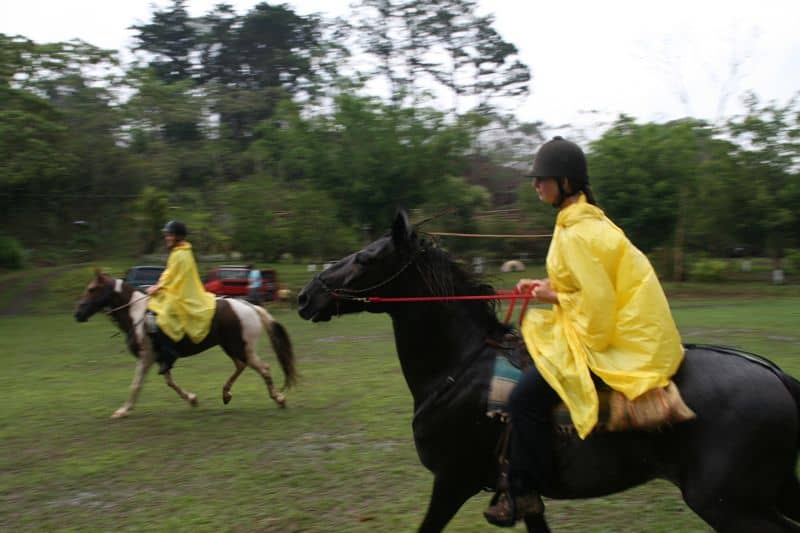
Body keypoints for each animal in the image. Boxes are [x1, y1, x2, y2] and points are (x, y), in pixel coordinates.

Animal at [75, 272, 296, 418]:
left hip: (242, 348)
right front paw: (192, 398)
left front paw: (123, 410)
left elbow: (136, 384)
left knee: (263, 368)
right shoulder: (161, 358)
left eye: (92, 289)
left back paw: (279, 399)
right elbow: (170, 382)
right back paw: (226, 393)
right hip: (232, 347)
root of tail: (249, 306)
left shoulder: (146, 357)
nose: (78, 314)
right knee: (241, 366)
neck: (137, 315)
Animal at [298, 210, 800, 528]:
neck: (459, 370)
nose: (306, 295)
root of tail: (776, 376)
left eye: (365, 258)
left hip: (728, 505)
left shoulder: (453, 481)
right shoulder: (524, 497)